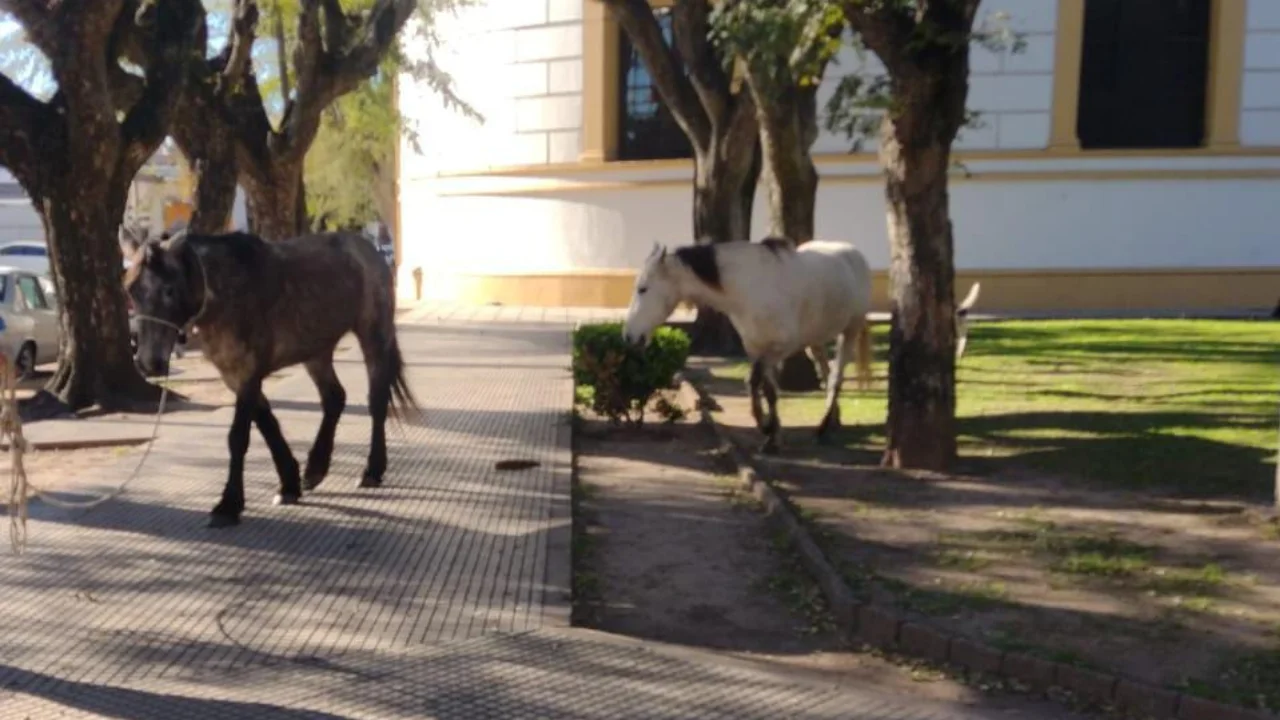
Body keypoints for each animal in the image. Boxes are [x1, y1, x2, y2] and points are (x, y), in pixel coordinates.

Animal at [121, 227, 418, 528]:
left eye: (169, 290)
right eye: (131, 290)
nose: (149, 362)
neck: (224, 291)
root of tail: (368, 249)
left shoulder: (248, 373)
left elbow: (239, 436)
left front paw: (228, 505)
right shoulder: (234, 376)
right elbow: (268, 425)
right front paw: (289, 484)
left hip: (373, 336)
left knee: (377, 401)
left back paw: (372, 469)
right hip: (316, 351)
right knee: (334, 398)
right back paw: (315, 469)